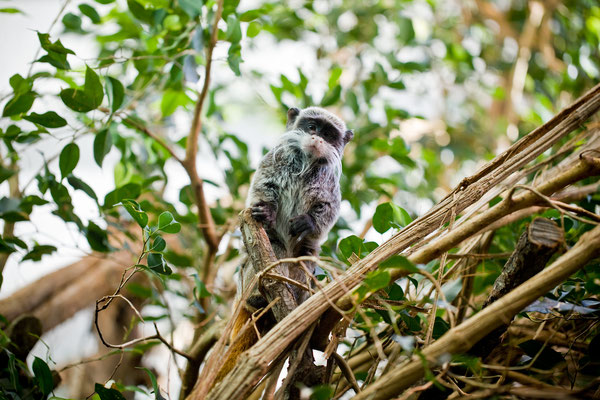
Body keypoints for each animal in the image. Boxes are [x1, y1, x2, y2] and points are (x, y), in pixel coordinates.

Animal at [214, 106, 352, 384]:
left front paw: (307, 222)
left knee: (305, 260)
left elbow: (326, 210)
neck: (306, 165)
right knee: (274, 249)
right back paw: (258, 298)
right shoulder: (272, 164)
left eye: (328, 134)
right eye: (312, 127)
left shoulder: (328, 187)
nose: (317, 138)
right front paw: (267, 211)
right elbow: (264, 188)